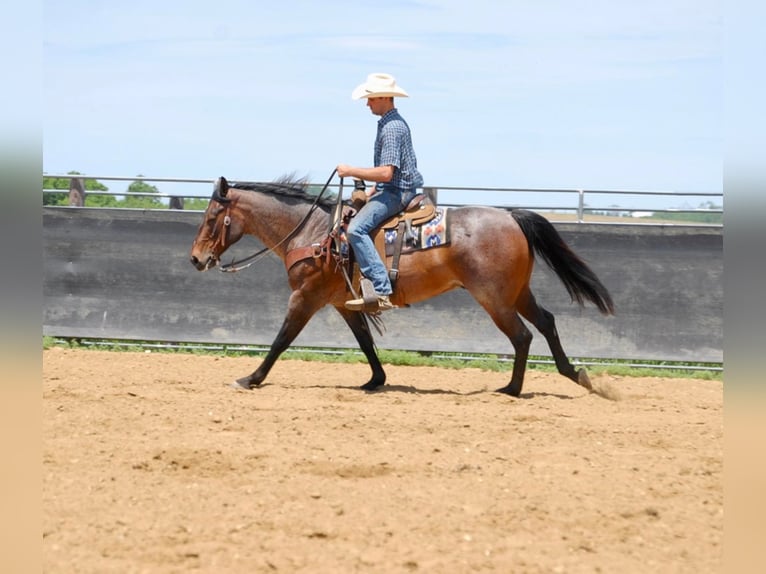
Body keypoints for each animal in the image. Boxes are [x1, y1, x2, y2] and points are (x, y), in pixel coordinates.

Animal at [189, 176, 616, 398]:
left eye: (211, 218)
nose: (195, 258)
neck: (315, 233)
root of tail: (511, 216)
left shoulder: (306, 296)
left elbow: (282, 339)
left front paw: (250, 378)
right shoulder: (344, 302)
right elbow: (365, 342)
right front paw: (376, 381)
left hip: (494, 297)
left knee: (522, 335)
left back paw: (511, 389)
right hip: (516, 292)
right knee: (546, 322)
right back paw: (576, 375)